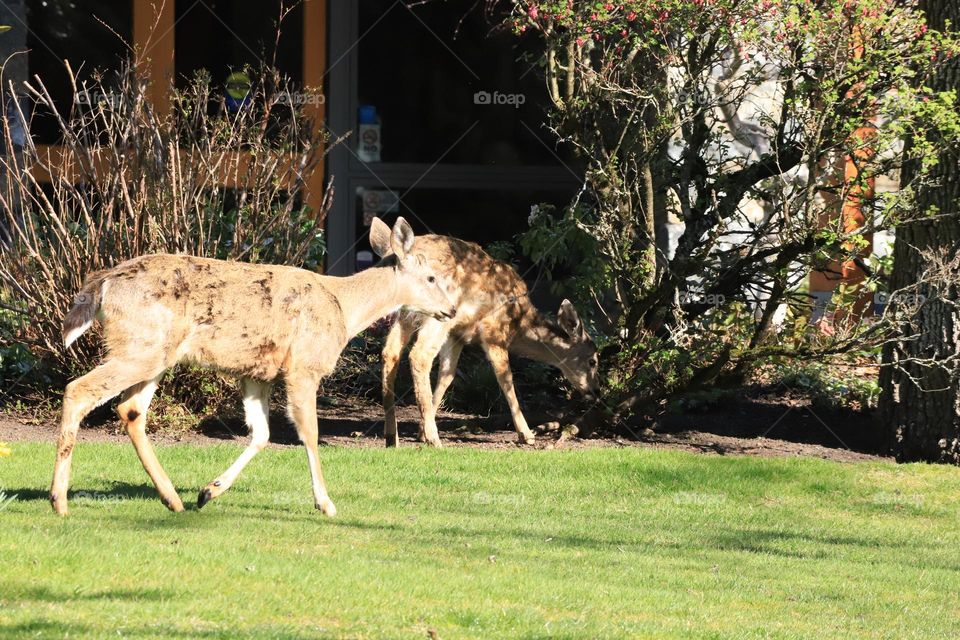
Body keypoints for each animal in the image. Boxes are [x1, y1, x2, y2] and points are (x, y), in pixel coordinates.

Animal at [49, 218, 458, 516]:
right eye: (431, 278)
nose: (452, 309)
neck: (344, 308)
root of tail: (101, 284)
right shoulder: (304, 366)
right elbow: (309, 433)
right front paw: (325, 503)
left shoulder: (256, 375)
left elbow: (261, 434)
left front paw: (208, 491)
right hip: (142, 345)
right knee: (78, 390)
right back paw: (60, 501)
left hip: (155, 353)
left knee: (130, 409)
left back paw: (174, 499)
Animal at [382, 232, 600, 448]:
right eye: (592, 361)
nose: (596, 391)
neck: (518, 324)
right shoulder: (494, 332)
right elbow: (506, 378)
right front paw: (526, 434)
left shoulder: (457, 335)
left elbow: (447, 375)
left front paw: (420, 431)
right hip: (438, 313)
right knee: (419, 356)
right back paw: (434, 439)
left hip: (405, 314)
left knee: (390, 353)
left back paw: (393, 436)